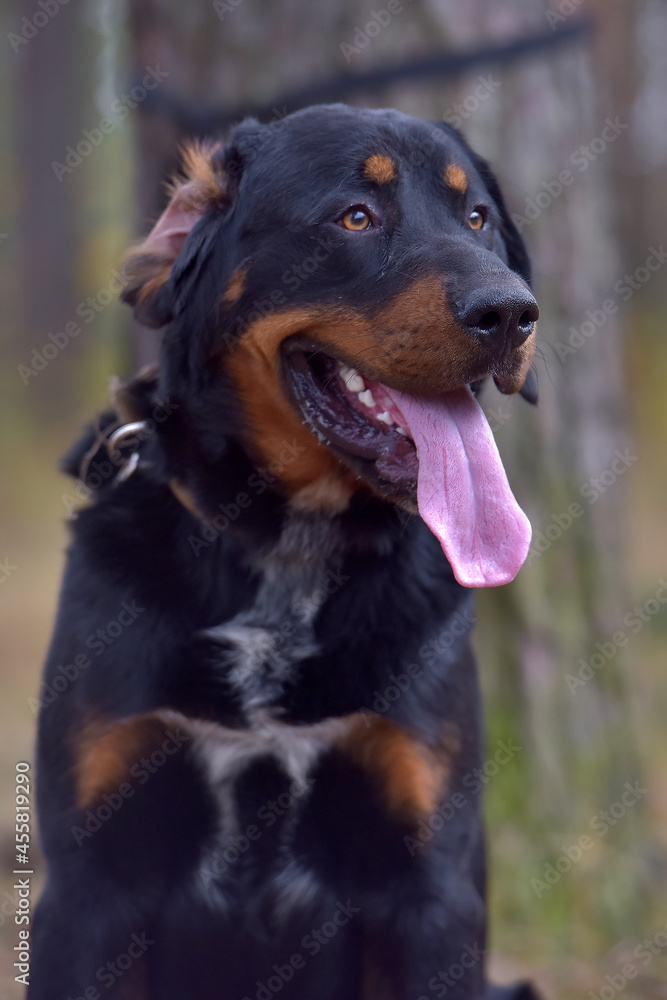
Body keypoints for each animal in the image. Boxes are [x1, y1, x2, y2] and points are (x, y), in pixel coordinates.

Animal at [32, 105, 544, 996]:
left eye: (477, 218)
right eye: (355, 217)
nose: (512, 312)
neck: (287, 551)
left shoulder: (429, 887)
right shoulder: (86, 887)